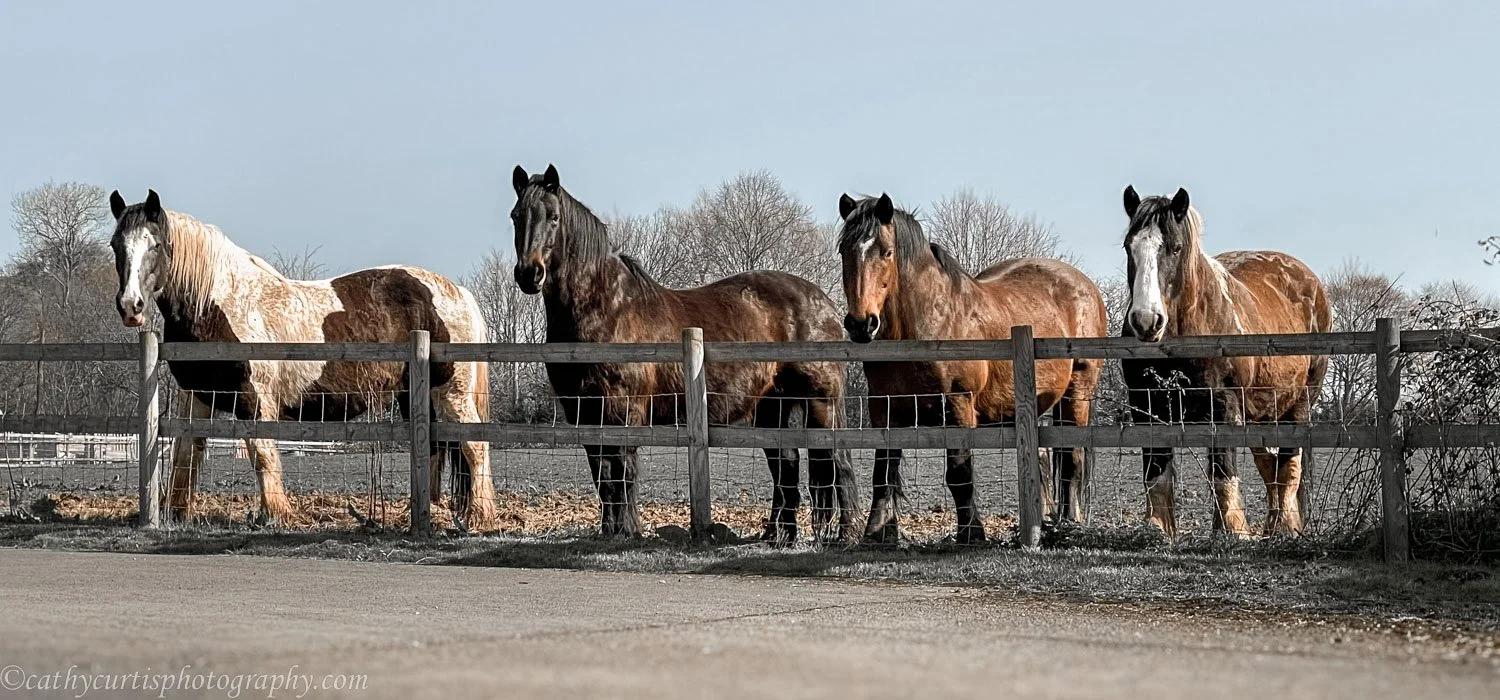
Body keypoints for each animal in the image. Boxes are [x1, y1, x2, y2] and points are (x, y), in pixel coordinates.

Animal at [107, 190, 496, 528]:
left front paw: (277, 515)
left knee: (474, 446)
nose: (130, 306)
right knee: (435, 449)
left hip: (451, 393)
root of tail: (457, 292)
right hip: (417, 396)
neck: (219, 304)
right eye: (116, 245)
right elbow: (187, 453)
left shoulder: (253, 400)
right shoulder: (198, 397)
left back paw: (479, 517)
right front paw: (176, 514)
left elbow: (262, 454)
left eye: (156, 244)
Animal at [510, 164, 859, 543]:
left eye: (554, 217)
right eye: (516, 216)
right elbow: (602, 476)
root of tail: (825, 303)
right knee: (787, 464)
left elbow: (623, 473)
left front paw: (629, 531)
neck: (606, 308)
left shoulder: (622, 411)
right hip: (771, 405)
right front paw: (610, 532)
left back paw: (843, 534)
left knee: (837, 462)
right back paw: (779, 536)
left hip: (822, 402)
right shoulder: (583, 412)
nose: (529, 274)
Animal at [837, 193, 1109, 544]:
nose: (861, 324)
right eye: (844, 251)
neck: (928, 325)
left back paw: (1070, 523)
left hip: (1078, 393)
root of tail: (1085, 285)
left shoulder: (958, 406)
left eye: (886, 252)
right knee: (1046, 458)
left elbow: (959, 474)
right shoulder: (884, 408)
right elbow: (883, 471)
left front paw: (971, 533)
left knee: (1073, 459)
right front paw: (879, 532)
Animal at [1119, 186, 1331, 537]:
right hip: (1262, 412)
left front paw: (1234, 531)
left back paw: (1286, 526)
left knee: (1288, 466)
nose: (1147, 321)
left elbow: (1222, 473)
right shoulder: (1146, 408)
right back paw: (1271, 524)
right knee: (1268, 465)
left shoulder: (1224, 407)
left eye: (1176, 248)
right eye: (1129, 246)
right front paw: (1159, 529)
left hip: (1299, 403)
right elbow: (1156, 476)